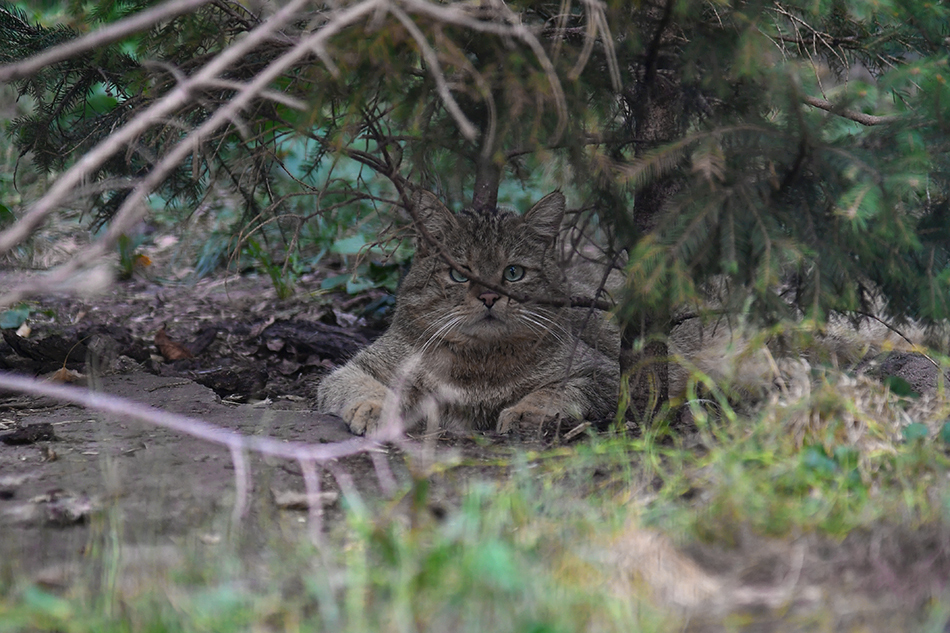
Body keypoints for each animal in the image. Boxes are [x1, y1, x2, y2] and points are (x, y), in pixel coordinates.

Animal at [316, 189, 620, 434]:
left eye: (513, 272)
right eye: (459, 274)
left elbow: (552, 391)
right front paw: (375, 409)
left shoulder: (603, 373)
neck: (478, 364)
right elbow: (364, 386)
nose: (488, 296)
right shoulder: (358, 368)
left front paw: (527, 412)